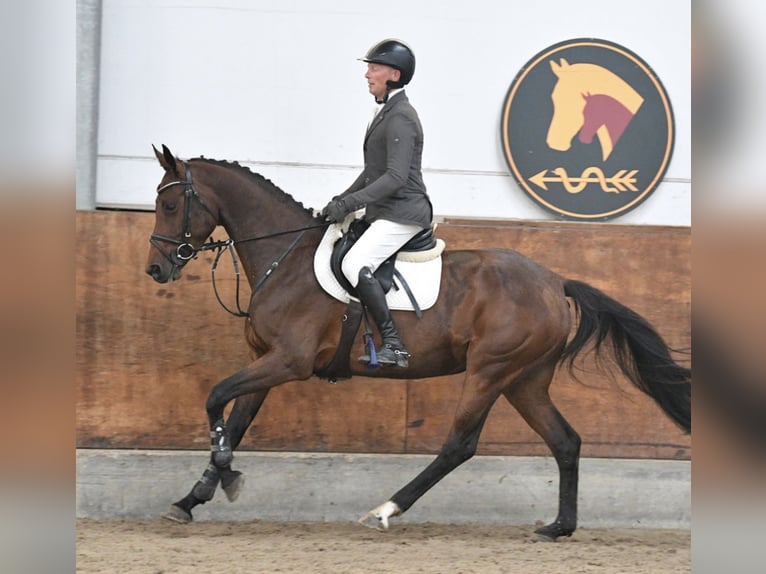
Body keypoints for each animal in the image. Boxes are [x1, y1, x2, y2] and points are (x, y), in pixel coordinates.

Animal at [146, 146, 696, 544]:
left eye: (171, 205)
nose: (156, 269)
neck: (286, 257)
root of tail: (554, 282)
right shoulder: (264, 361)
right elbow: (234, 421)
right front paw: (194, 497)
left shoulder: (288, 362)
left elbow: (216, 396)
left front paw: (222, 480)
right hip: (525, 380)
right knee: (565, 441)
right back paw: (558, 528)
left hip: (490, 370)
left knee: (459, 445)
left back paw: (385, 510)